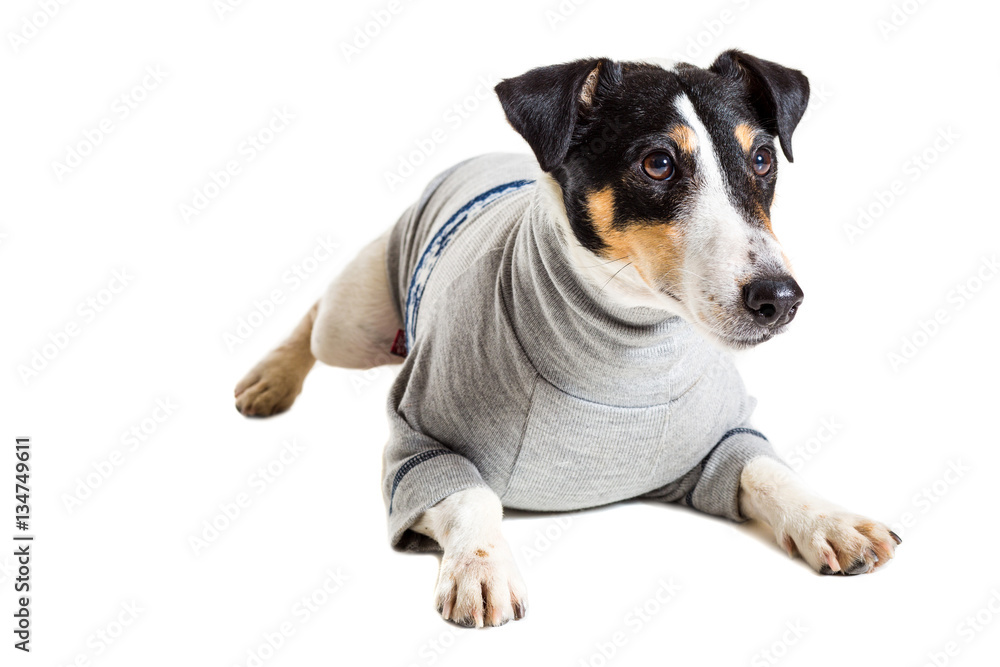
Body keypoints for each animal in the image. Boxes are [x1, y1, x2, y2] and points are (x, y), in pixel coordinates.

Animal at [236, 51, 908, 628]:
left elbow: (767, 470)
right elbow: (468, 494)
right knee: (317, 317)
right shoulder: (415, 444)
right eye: (658, 163)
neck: (625, 347)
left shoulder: (719, 443)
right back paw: (270, 379)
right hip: (356, 323)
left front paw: (831, 520)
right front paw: (479, 566)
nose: (780, 299)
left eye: (763, 159)